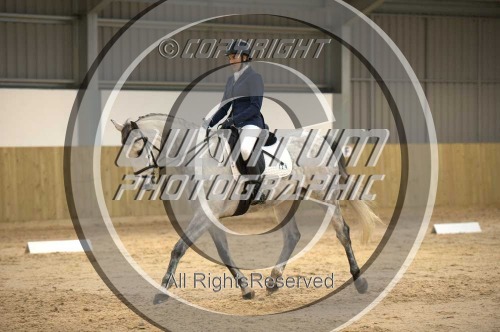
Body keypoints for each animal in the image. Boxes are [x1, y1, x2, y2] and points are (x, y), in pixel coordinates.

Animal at [111, 113, 380, 300]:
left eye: (139, 148)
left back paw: (360, 282)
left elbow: (178, 248)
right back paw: (273, 282)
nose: (142, 183)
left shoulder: (206, 215)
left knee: (342, 232)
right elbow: (223, 252)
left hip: (326, 195)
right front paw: (246, 290)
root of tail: (322, 140)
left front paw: (161, 292)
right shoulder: (209, 216)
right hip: (284, 201)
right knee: (292, 236)